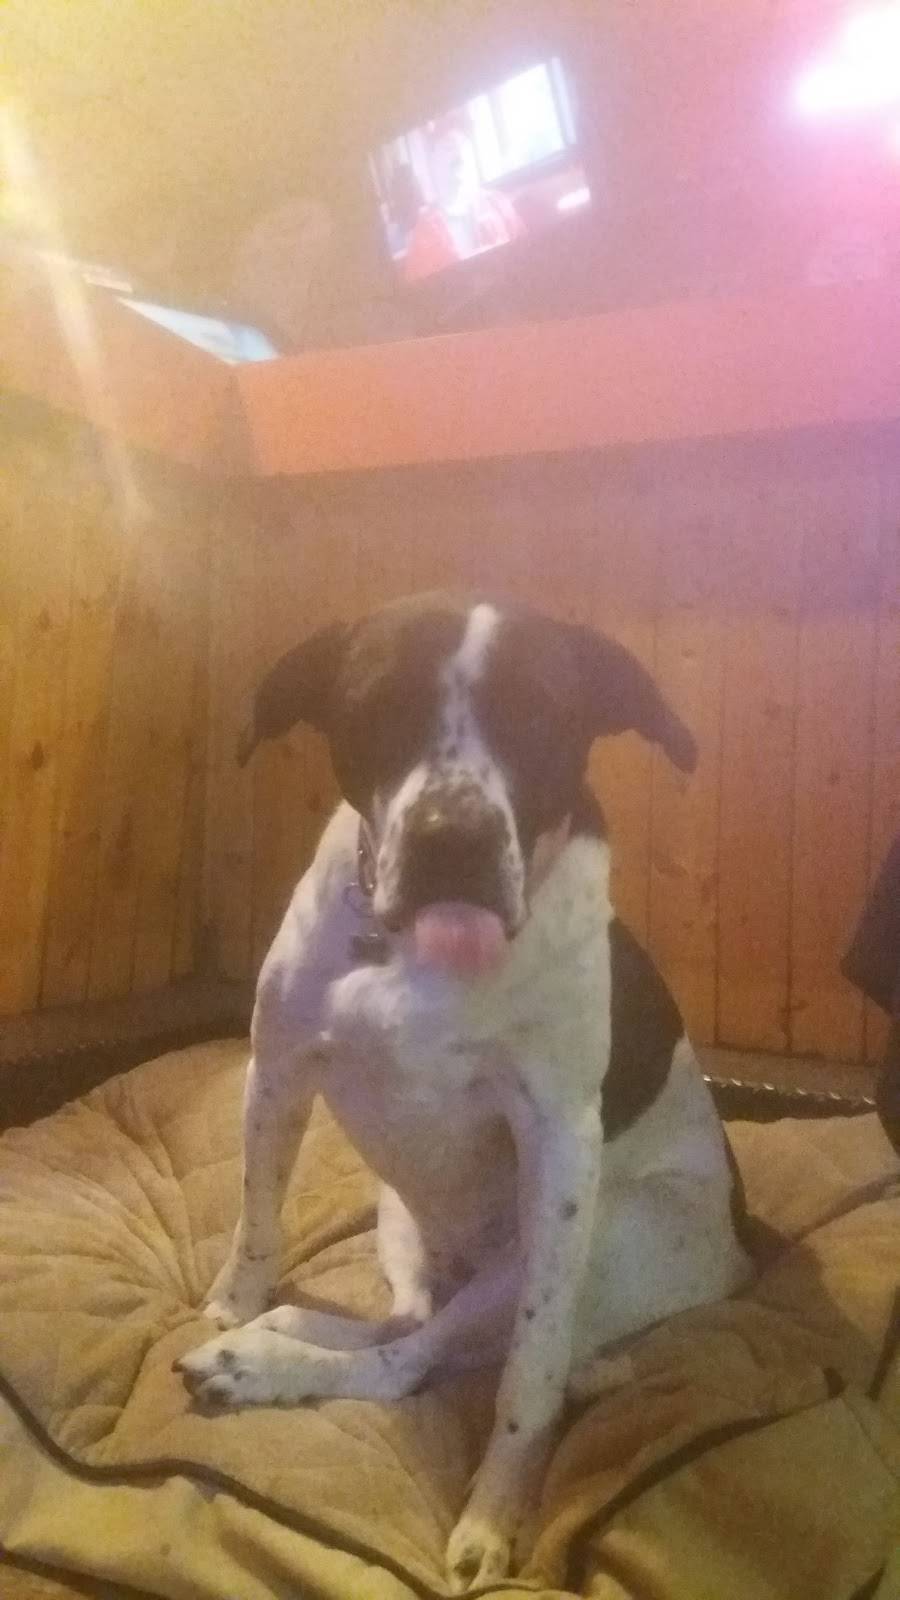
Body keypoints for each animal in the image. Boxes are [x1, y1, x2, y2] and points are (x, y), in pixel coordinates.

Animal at [176, 591, 752, 1590]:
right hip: (401, 1223)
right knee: (405, 1325)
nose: (454, 840)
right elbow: (256, 1219)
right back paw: (262, 1335)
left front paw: (496, 1512)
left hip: (589, 1239)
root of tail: (740, 1258)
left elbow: (527, 1378)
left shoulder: (559, 1156)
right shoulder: (276, 1067)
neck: (420, 949)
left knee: (428, 1360)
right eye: (377, 706)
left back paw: (260, 1366)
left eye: (543, 715)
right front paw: (234, 1307)